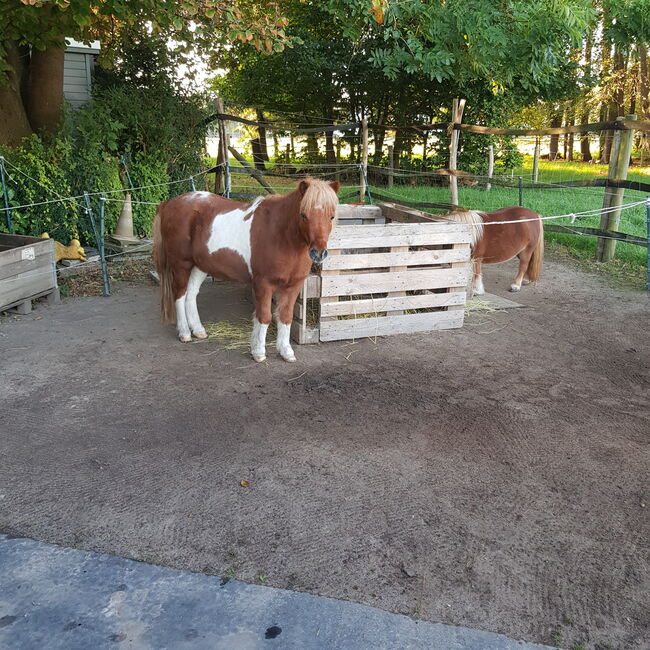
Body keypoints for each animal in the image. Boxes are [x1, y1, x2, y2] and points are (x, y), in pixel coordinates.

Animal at [152, 178, 340, 363]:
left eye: (331, 216)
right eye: (303, 215)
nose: (319, 253)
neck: (281, 234)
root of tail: (169, 203)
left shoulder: (293, 286)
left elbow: (285, 317)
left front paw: (286, 351)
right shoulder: (264, 284)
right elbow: (264, 316)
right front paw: (258, 352)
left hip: (199, 265)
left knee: (190, 295)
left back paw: (198, 330)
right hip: (181, 264)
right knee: (179, 295)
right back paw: (184, 333)